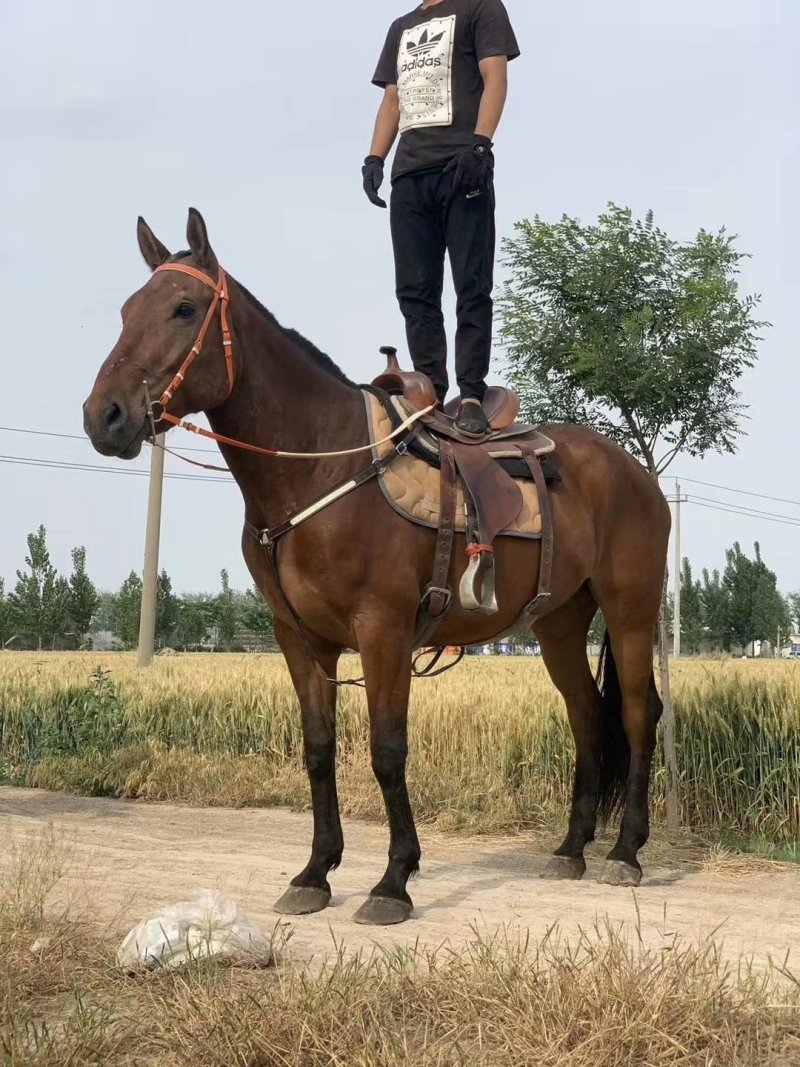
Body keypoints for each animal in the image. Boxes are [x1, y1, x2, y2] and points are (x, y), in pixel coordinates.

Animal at [83, 209, 671, 926]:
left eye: (184, 308)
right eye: (127, 310)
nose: (103, 415)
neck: (321, 468)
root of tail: (634, 472)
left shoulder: (383, 629)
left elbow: (387, 751)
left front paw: (393, 880)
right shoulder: (299, 637)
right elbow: (318, 749)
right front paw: (315, 872)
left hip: (630, 609)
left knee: (639, 713)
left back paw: (626, 851)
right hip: (559, 621)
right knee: (586, 715)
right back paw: (570, 847)